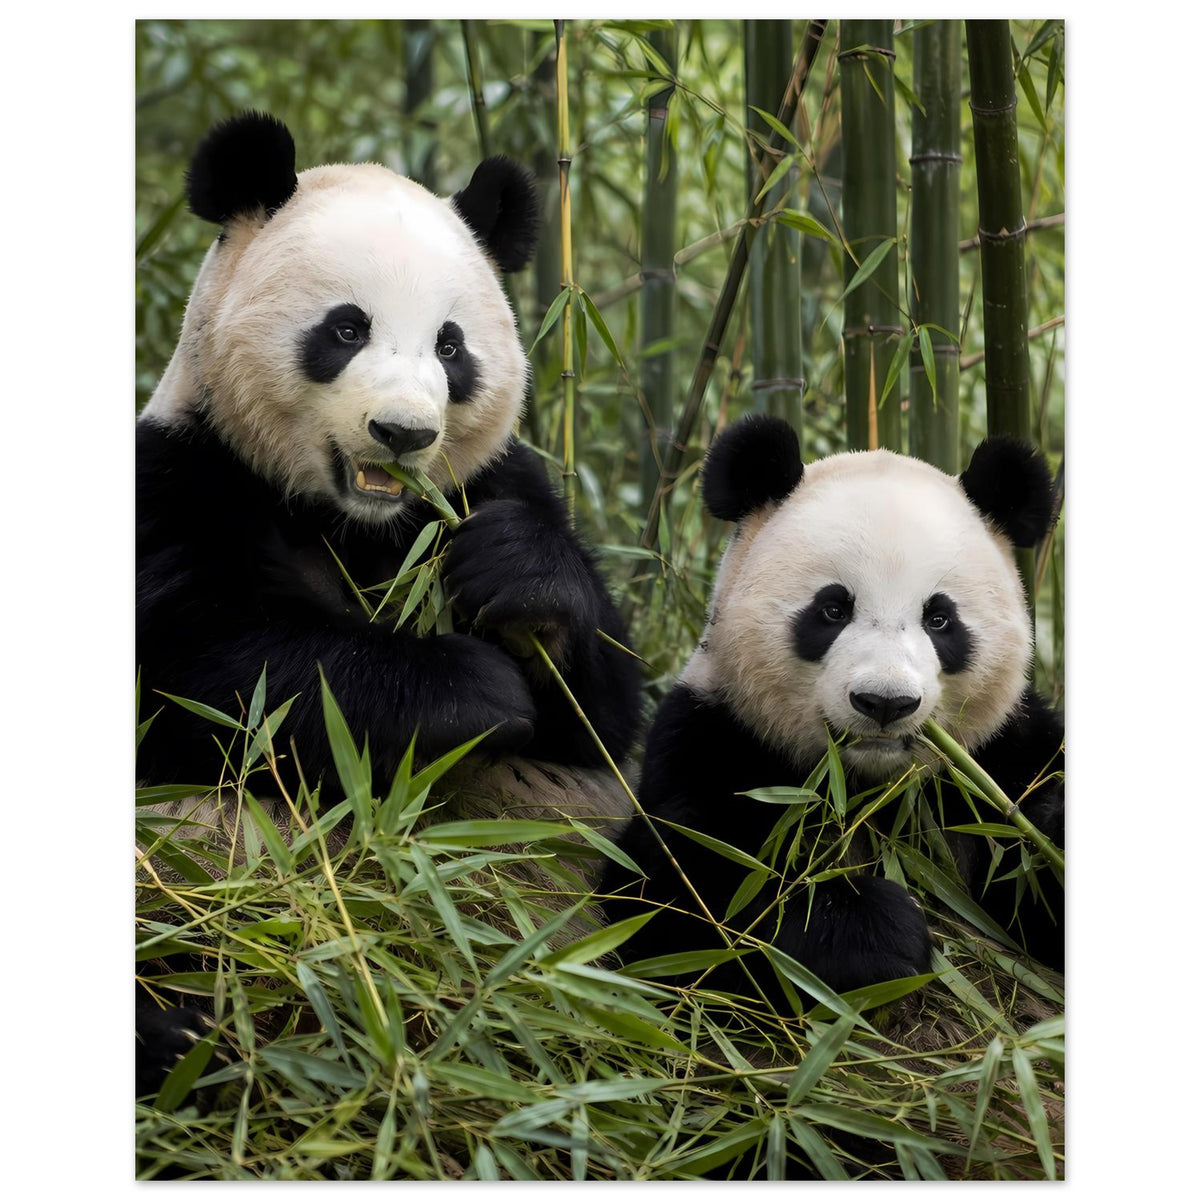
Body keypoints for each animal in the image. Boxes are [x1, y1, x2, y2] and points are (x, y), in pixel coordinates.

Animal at [136, 113, 641, 1095]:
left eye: (450, 345)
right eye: (345, 328)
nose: (403, 434)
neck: (354, 520)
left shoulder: (489, 484)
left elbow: (602, 717)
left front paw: (521, 584)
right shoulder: (178, 483)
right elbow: (217, 678)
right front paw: (473, 690)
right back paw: (187, 1041)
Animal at [601, 414, 1063, 1009]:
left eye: (940, 619)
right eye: (833, 609)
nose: (885, 702)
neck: (868, 789)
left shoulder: (999, 757)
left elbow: (1030, 878)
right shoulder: (716, 737)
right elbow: (684, 898)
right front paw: (875, 931)